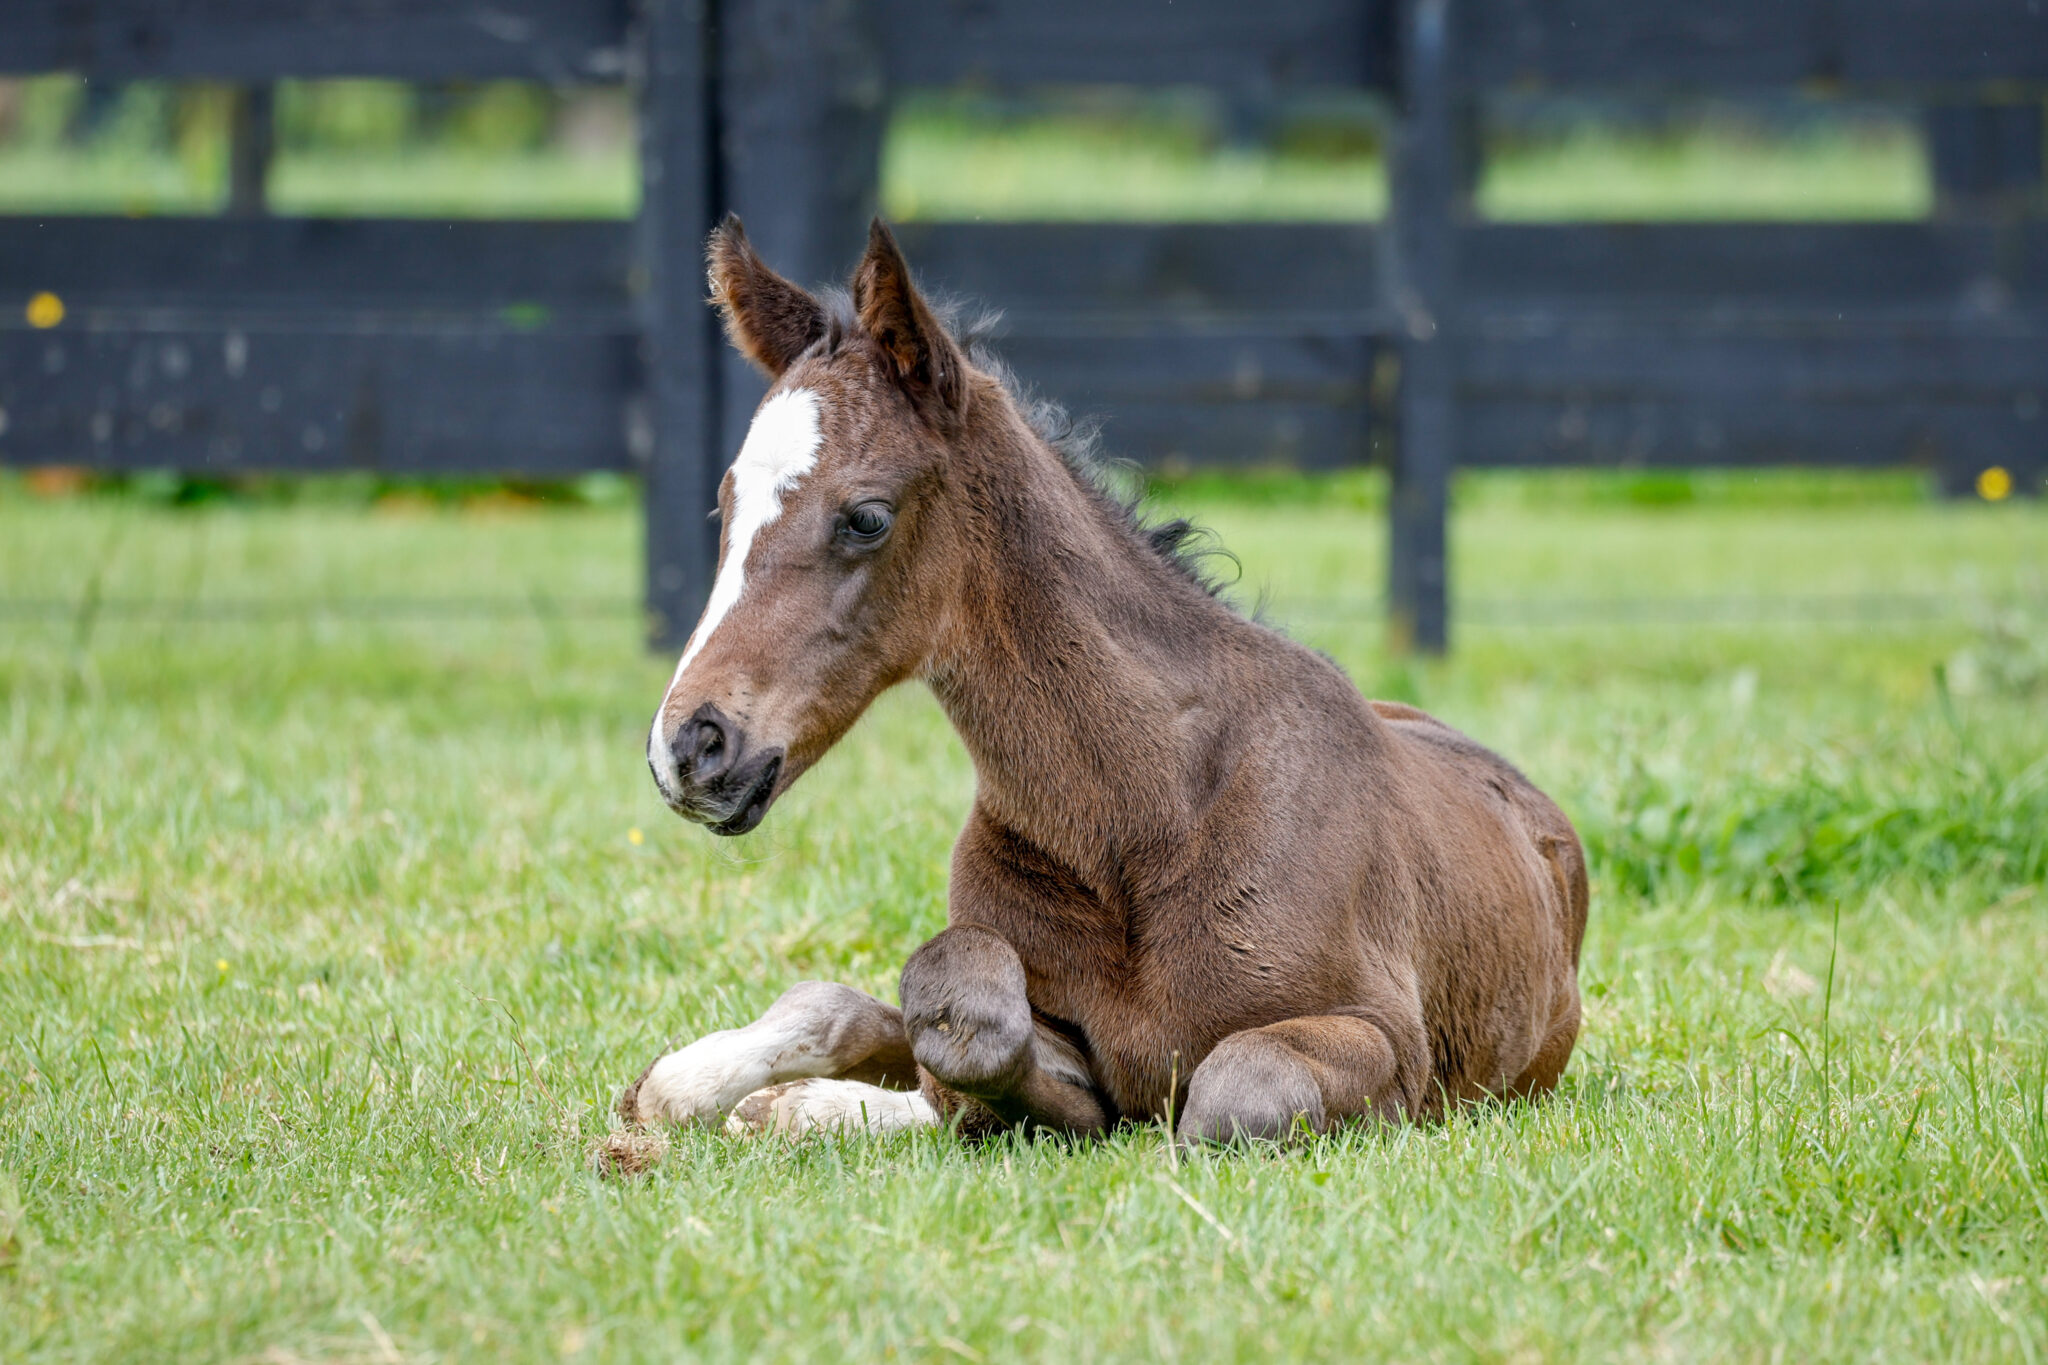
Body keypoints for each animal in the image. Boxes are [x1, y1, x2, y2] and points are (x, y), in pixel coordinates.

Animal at [614, 218, 1589, 1146]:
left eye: (865, 517)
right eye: (725, 505)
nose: (688, 746)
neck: (1148, 815)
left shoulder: (1391, 1044)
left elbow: (1231, 1090)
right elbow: (958, 1022)